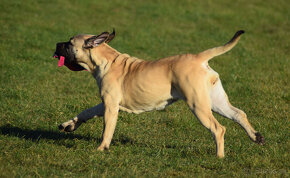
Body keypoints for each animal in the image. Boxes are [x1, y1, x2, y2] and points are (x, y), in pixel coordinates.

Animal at [54, 29, 266, 158]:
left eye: (70, 43)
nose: (56, 44)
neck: (106, 60)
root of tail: (198, 58)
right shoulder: (105, 103)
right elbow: (87, 112)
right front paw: (69, 125)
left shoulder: (111, 106)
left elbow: (107, 129)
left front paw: (101, 148)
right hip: (216, 102)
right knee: (239, 114)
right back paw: (256, 137)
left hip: (198, 105)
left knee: (218, 128)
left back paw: (219, 156)